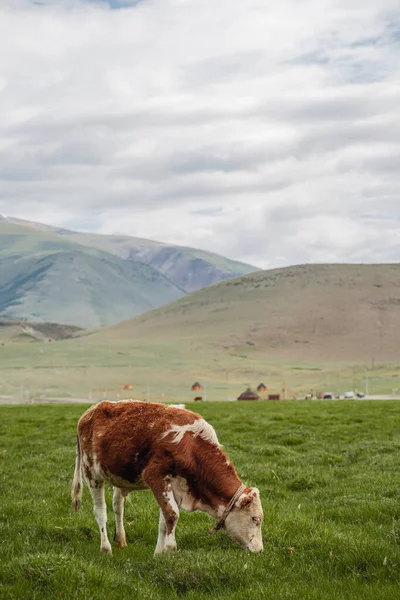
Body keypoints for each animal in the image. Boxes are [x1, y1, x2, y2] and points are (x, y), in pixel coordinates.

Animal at [72, 400, 264, 556]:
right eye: (255, 519)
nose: (260, 550)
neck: (190, 445)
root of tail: (90, 411)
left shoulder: (177, 487)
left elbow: (164, 521)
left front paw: (159, 553)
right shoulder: (156, 476)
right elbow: (172, 515)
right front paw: (170, 548)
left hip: (118, 477)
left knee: (118, 507)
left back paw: (120, 540)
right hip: (91, 474)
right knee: (100, 511)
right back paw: (106, 548)